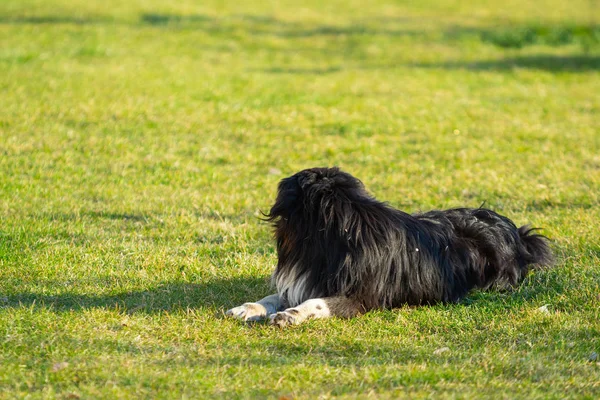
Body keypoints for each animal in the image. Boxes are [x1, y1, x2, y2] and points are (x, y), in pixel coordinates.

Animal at [225, 167, 552, 326]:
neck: (332, 239)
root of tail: (517, 234)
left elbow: (316, 303)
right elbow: (272, 296)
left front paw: (291, 314)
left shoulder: (359, 297)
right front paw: (248, 308)